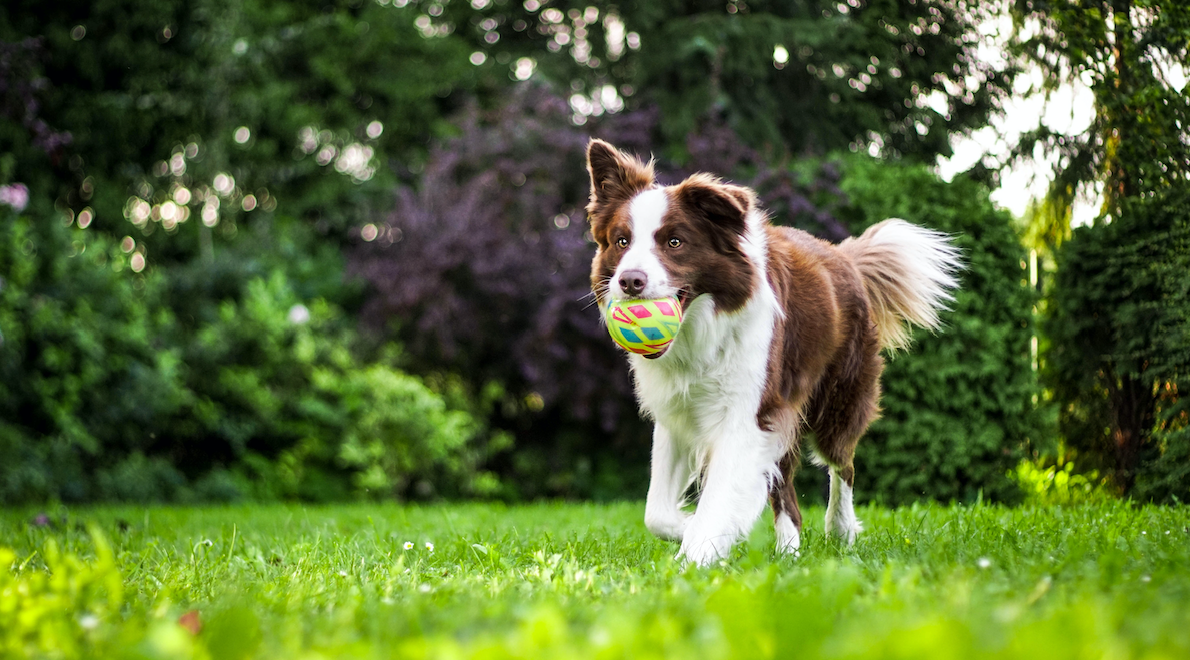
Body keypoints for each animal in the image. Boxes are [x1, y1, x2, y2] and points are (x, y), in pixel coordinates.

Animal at [587, 139, 966, 563]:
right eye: (621, 241)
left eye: (674, 242)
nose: (629, 281)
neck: (700, 331)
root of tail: (844, 257)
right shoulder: (678, 413)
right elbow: (656, 513)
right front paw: (697, 530)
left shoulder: (747, 413)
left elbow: (718, 497)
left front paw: (697, 554)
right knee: (786, 491)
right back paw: (789, 553)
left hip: (837, 400)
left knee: (843, 464)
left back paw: (840, 530)